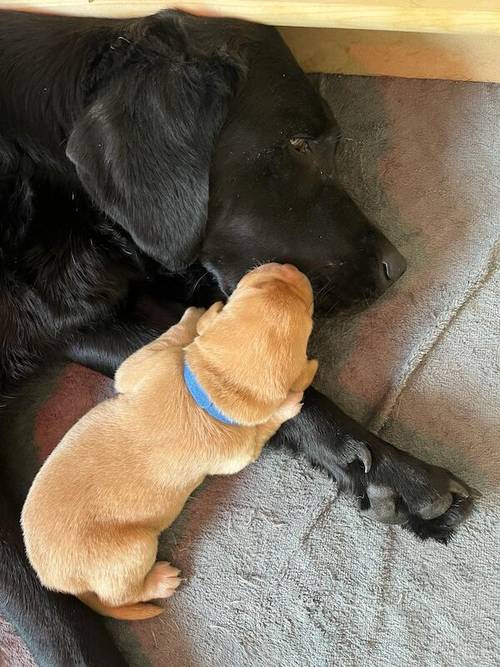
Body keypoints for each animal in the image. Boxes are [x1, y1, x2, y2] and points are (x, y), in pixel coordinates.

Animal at [22, 262, 316, 620]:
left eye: (254, 287)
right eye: (308, 313)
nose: (288, 267)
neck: (207, 387)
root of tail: (57, 584)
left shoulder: (148, 367)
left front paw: (196, 318)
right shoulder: (237, 449)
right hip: (134, 551)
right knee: (120, 596)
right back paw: (160, 581)